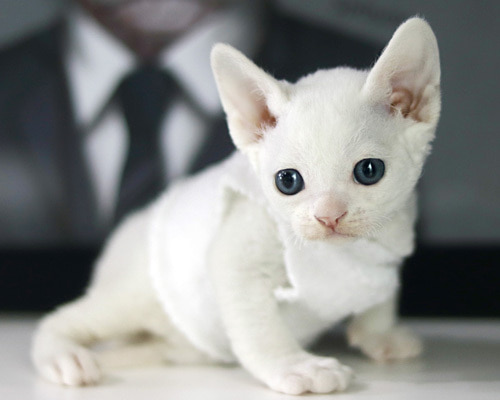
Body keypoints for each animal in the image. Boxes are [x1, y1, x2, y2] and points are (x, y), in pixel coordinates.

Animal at [31, 17, 440, 395]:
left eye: (369, 171)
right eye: (287, 181)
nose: (328, 216)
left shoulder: (391, 243)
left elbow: (382, 294)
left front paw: (379, 334)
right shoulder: (240, 250)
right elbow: (258, 326)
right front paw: (294, 365)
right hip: (139, 292)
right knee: (64, 319)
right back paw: (63, 355)